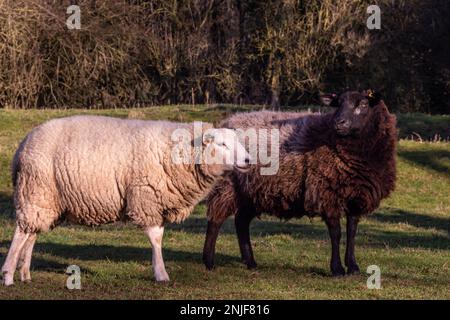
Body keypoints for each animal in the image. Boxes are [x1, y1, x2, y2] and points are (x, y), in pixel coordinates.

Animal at [1, 115, 251, 284]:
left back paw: (25, 274)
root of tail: (23, 146)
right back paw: (8, 274)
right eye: (222, 144)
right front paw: (161, 274)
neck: (180, 152)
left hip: (45, 199)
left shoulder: (156, 202)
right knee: (21, 232)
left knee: (32, 233)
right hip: (35, 188)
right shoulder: (146, 198)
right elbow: (156, 238)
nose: (249, 160)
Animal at [204, 91, 398, 276]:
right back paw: (209, 262)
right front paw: (337, 269)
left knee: (241, 222)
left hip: (252, 191)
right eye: (338, 103)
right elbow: (336, 233)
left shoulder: (357, 197)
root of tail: (228, 121)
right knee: (216, 220)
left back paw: (250, 262)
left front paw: (353, 267)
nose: (339, 122)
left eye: (363, 104)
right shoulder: (326, 193)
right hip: (228, 185)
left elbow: (352, 232)